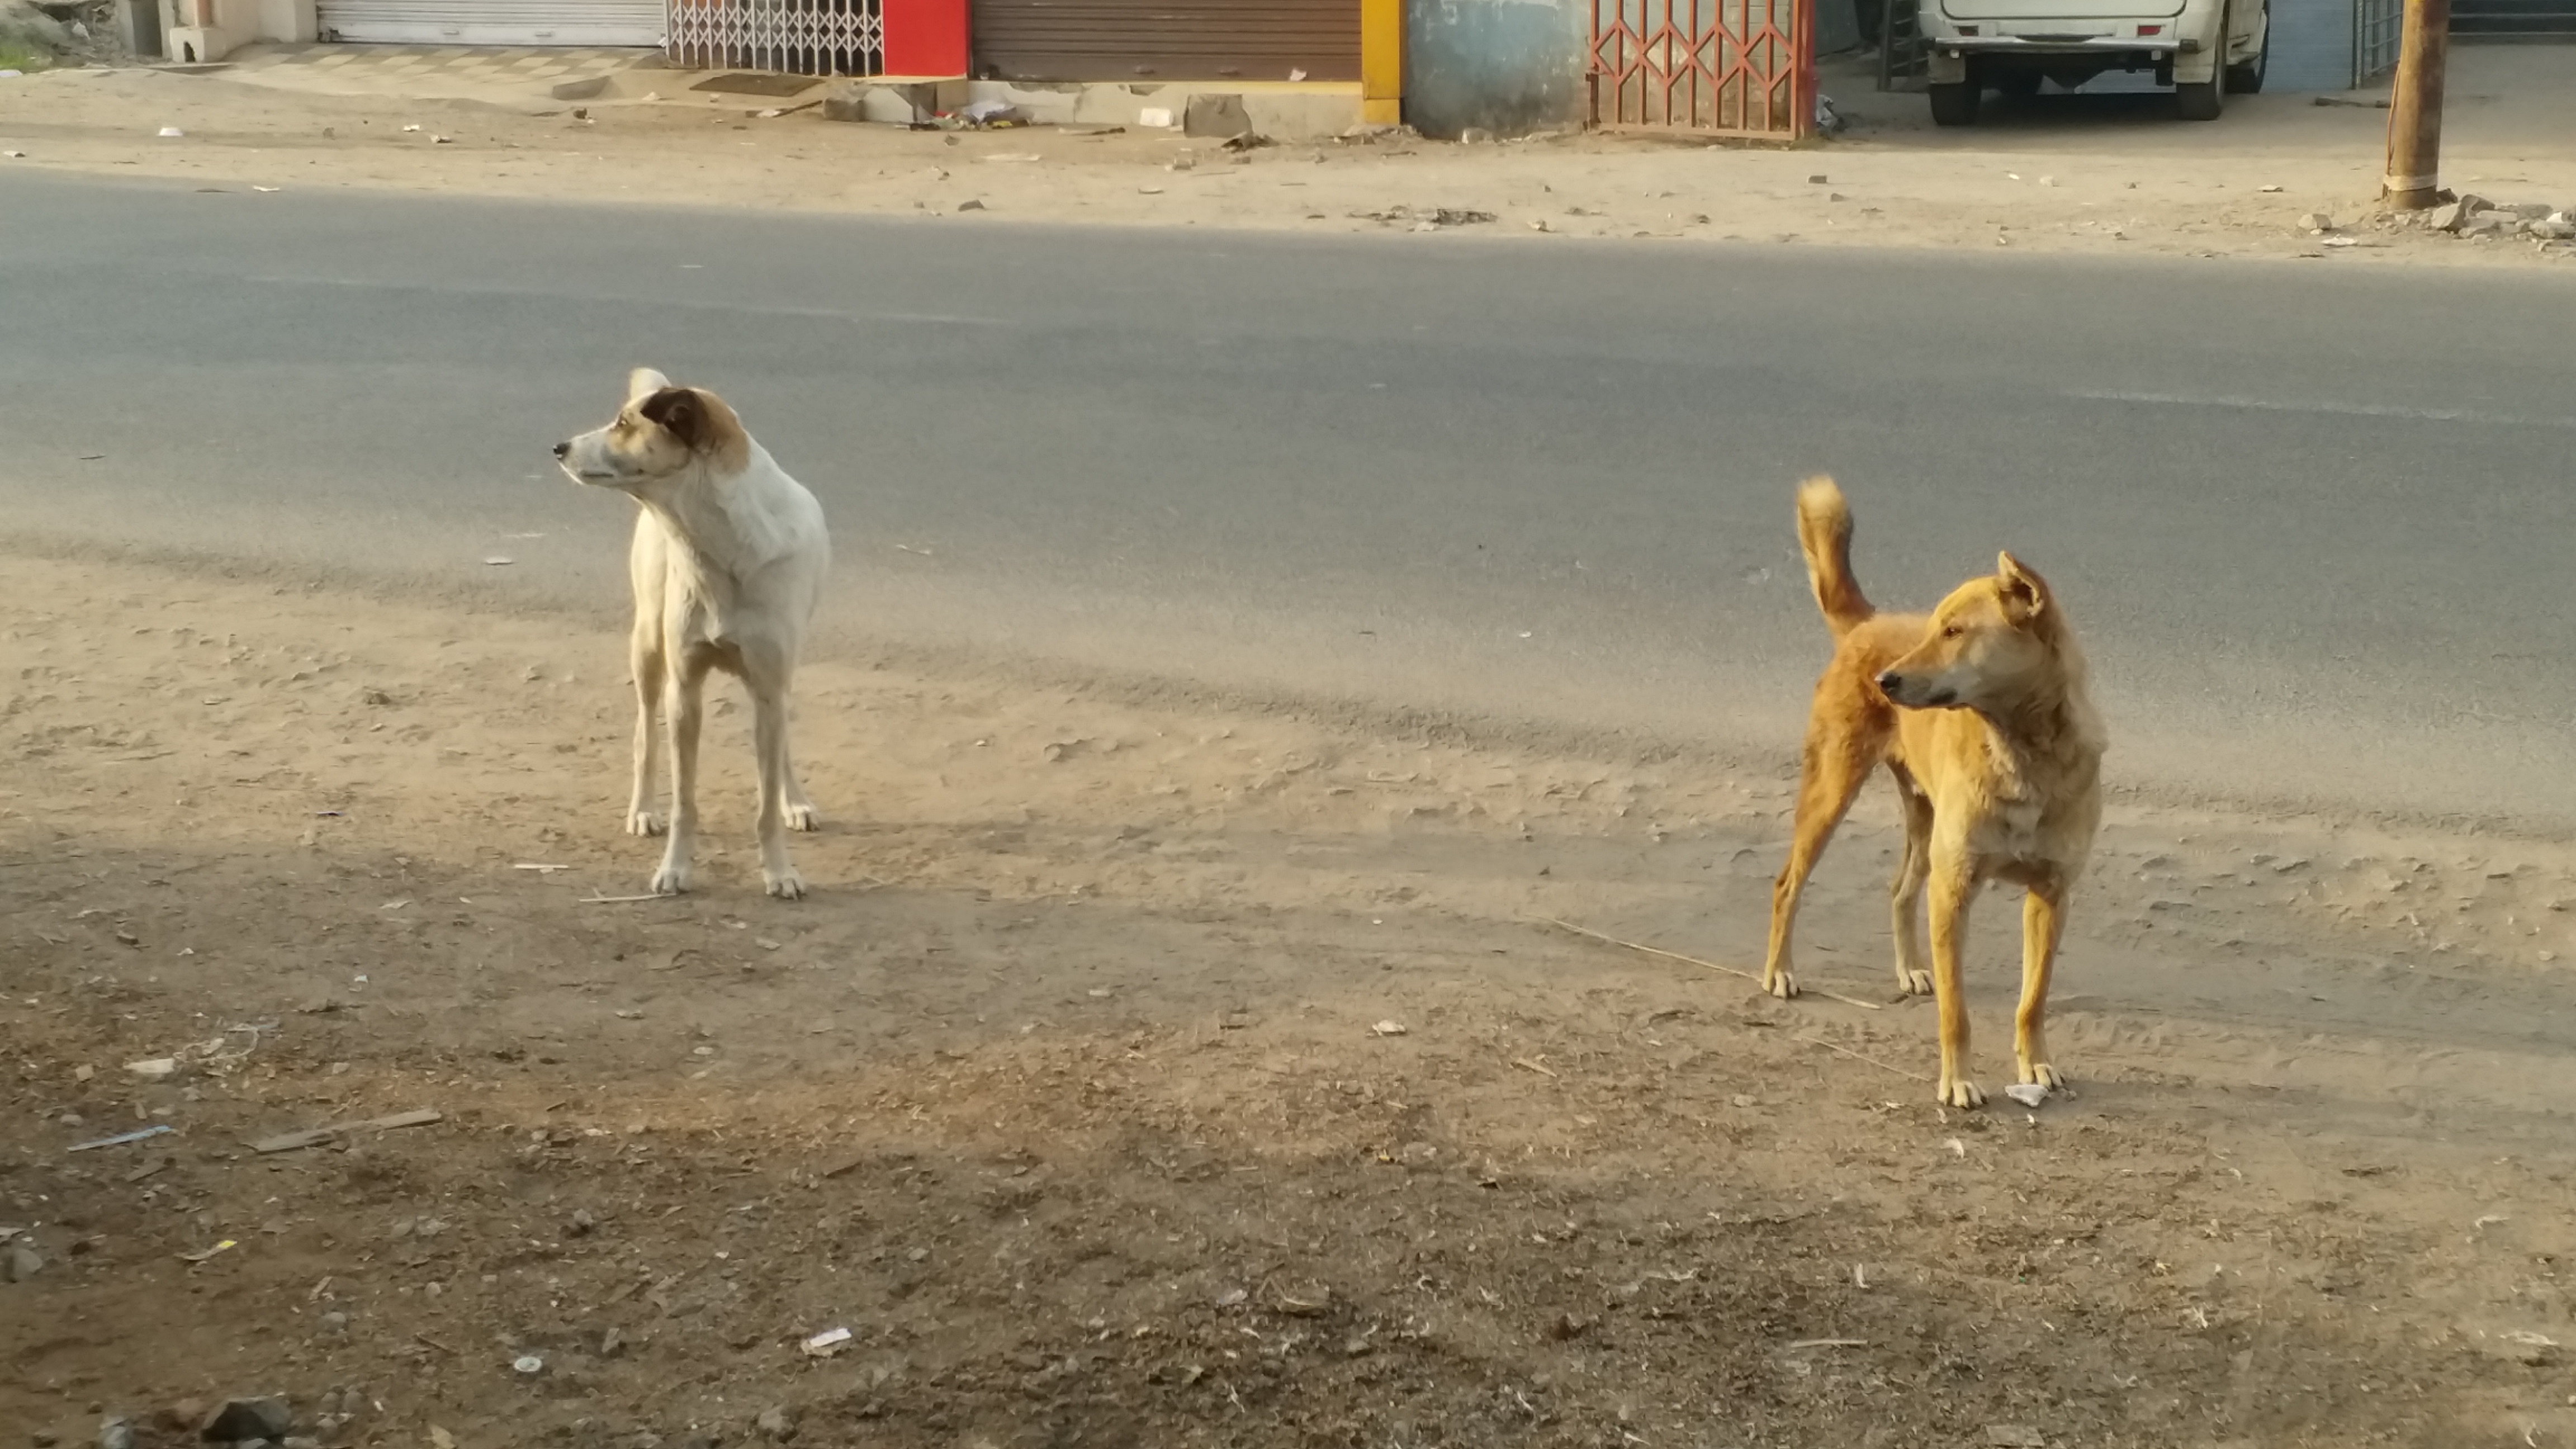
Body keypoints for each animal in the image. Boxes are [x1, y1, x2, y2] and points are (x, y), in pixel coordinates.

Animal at [556, 366, 829, 897]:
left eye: (624, 424)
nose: (559, 447)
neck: (724, 549)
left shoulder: (770, 687)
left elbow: (765, 801)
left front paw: (780, 869)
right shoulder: (684, 691)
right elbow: (685, 800)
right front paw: (675, 867)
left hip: (782, 675)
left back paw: (795, 799)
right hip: (647, 647)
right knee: (645, 734)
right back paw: (643, 809)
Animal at [1772, 477, 2112, 1103]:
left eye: (1954, 632)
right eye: (1935, 627)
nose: (1885, 680)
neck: (2021, 754)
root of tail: (1867, 625)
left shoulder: (2051, 897)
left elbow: (2034, 1000)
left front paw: (2035, 1063)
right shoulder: (1953, 892)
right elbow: (1958, 1011)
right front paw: (1957, 1082)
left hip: (1924, 822)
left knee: (1900, 890)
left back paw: (1908, 969)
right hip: (1832, 793)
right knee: (1788, 884)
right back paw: (1778, 972)